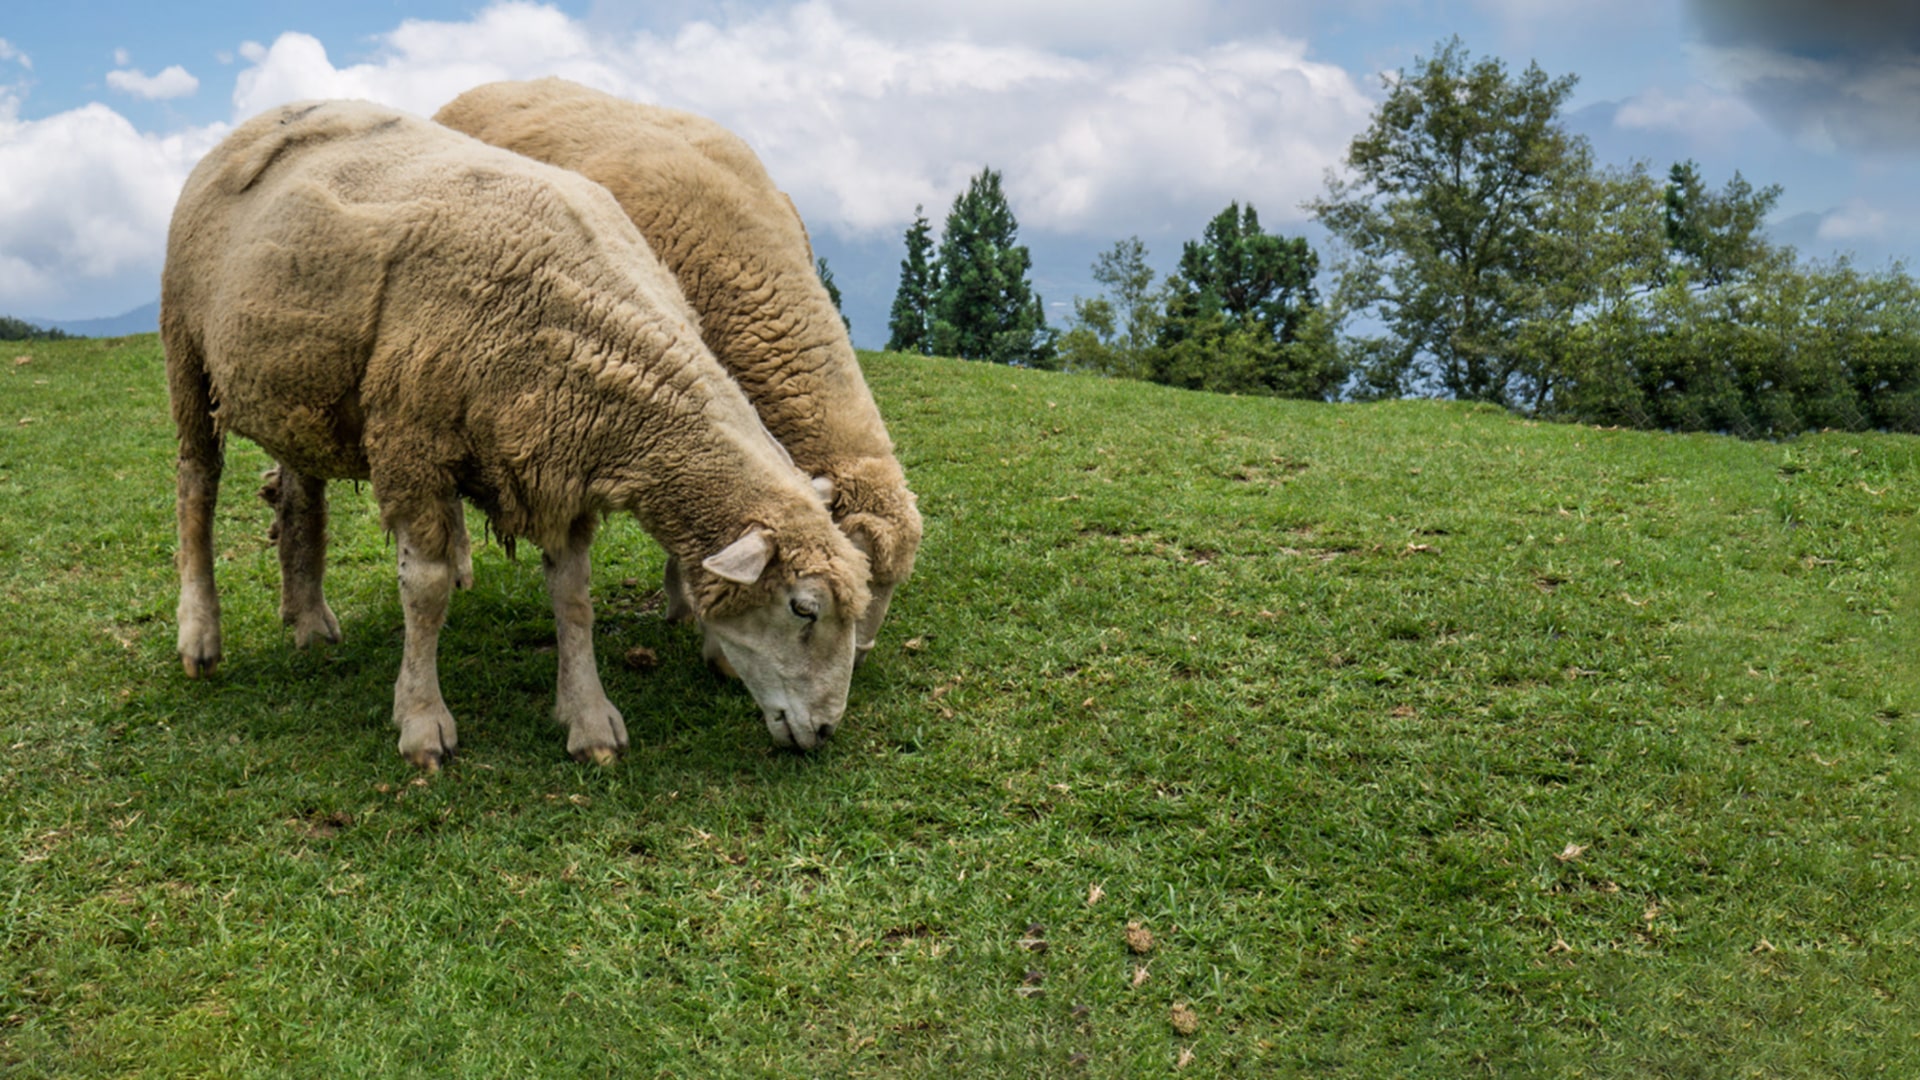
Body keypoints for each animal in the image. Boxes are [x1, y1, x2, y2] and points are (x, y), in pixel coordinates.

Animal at [165, 96, 871, 760]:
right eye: (802, 608)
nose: (826, 729)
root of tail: (263, 118)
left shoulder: (559, 459)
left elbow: (574, 596)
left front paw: (589, 719)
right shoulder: (411, 445)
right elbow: (424, 590)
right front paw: (422, 721)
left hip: (300, 383)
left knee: (299, 488)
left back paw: (309, 619)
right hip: (186, 350)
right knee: (196, 486)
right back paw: (200, 637)